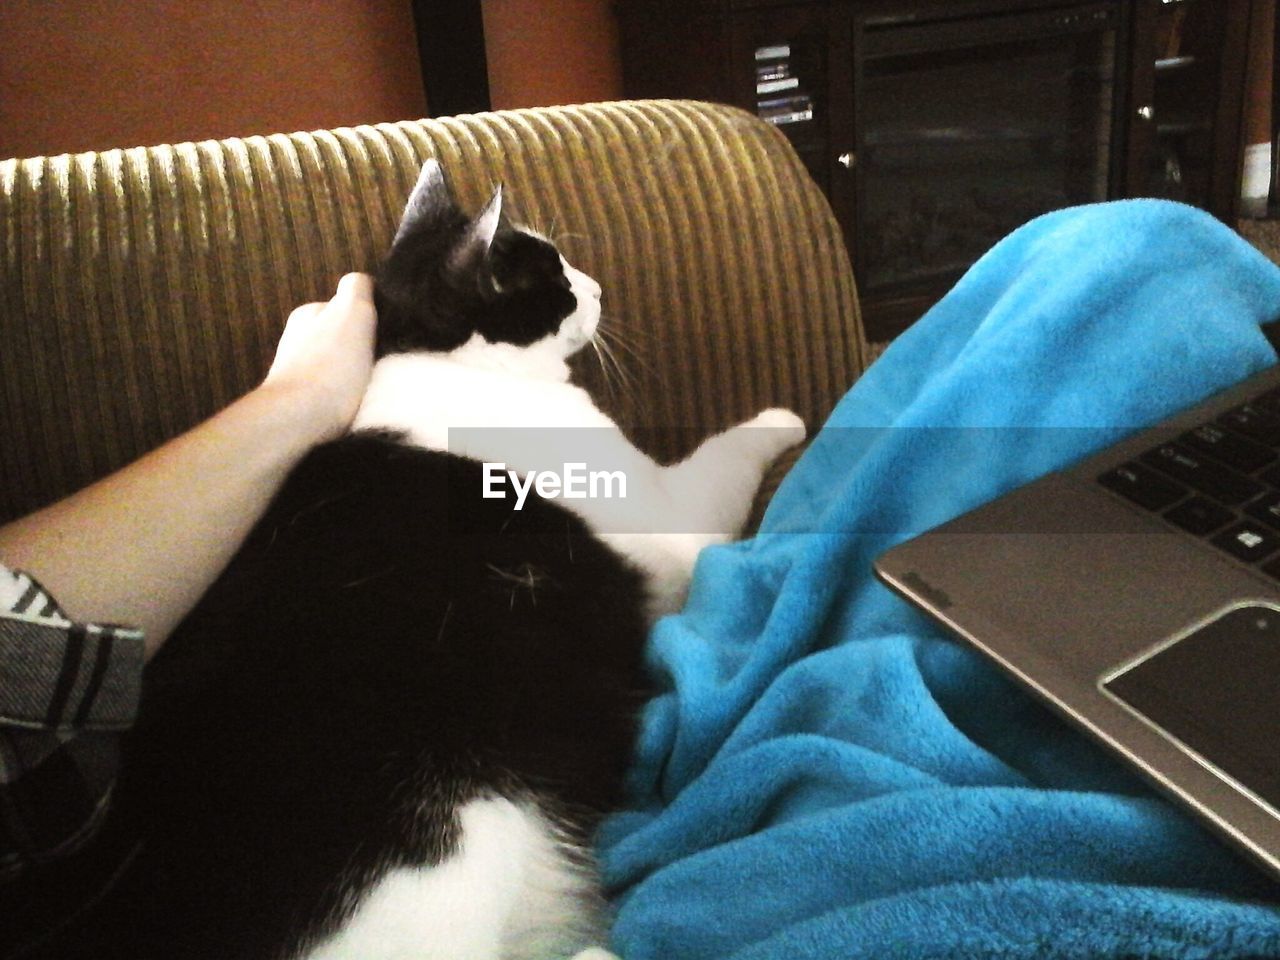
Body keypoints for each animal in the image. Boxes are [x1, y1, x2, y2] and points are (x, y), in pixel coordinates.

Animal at [52, 161, 808, 960]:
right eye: (555, 275)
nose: (600, 286)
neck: (447, 366)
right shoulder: (674, 530)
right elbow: (726, 456)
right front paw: (783, 419)